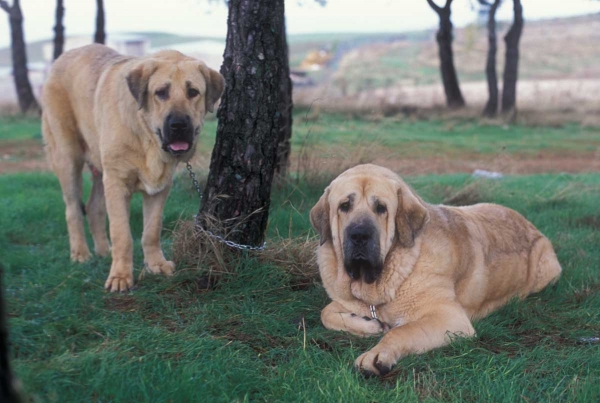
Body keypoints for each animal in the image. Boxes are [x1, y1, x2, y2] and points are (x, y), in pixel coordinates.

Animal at [42, 44, 225, 292]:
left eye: (193, 92)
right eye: (161, 92)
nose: (178, 125)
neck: (146, 136)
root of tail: (63, 56)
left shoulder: (160, 188)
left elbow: (152, 230)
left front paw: (156, 264)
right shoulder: (117, 183)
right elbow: (122, 234)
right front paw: (120, 276)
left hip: (101, 170)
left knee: (94, 207)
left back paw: (103, 251)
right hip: (68, 158)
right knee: (72, 210)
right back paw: (80, 253)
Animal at [312, 165, 560, 378]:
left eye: (381, 208)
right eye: (344, 206)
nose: (359, 235)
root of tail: (531, 224)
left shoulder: (450, 319)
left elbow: (400, 331)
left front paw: (376, 355)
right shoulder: (347, 299)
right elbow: (326, 313)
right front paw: (369, 325)